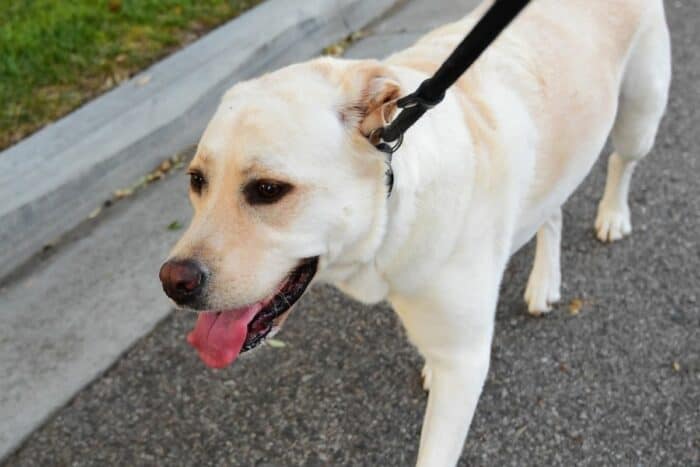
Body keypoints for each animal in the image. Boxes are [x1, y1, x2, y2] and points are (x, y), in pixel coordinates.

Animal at [160, 1, 672, 466]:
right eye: (196, 181)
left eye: (268, 190)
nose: (172, 282)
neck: (394, 201)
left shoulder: (464, 363)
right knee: (553, 210)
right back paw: (544, 281)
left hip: (639, 119)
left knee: (620, 162)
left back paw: (612, 213)